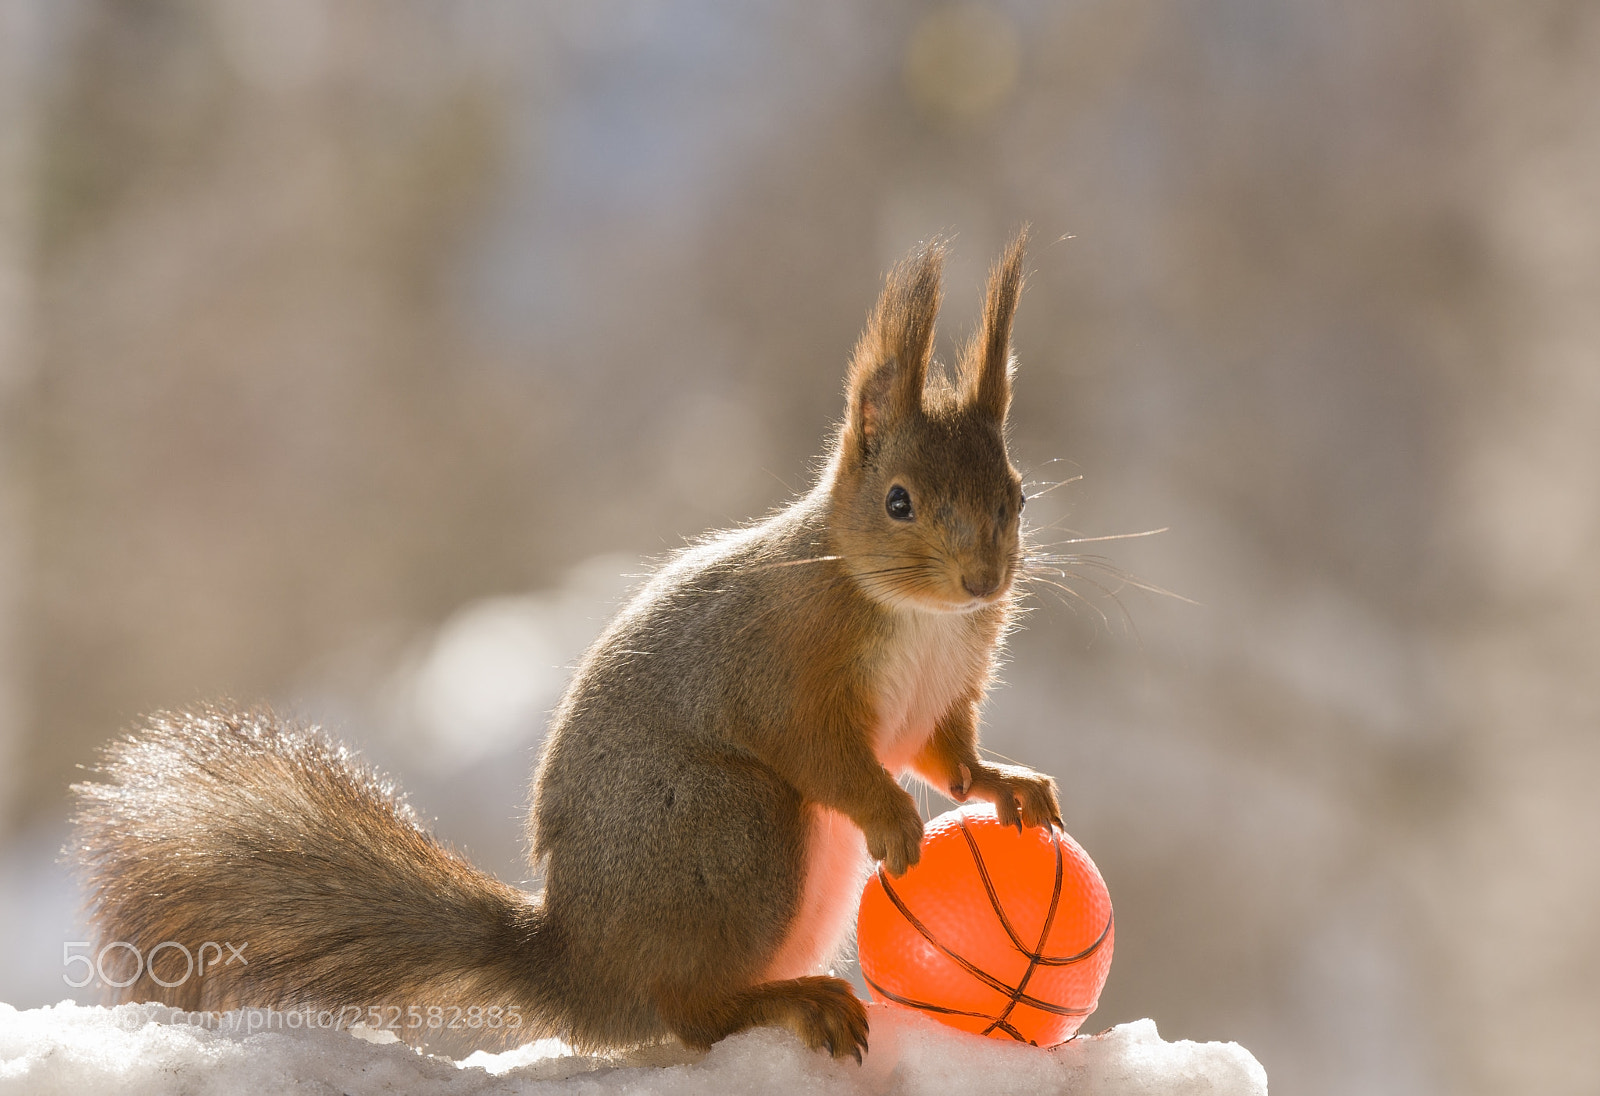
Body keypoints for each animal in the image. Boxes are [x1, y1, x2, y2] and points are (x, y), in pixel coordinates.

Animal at [70, 230, 1062, 1063]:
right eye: (898, 501)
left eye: (1015, 494)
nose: (984, 581)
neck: (917, 615)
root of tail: (578, 968)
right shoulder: (777, 661)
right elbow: (818, 748)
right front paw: (892, 815)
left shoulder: (947, 689)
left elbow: (948, 752)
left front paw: (1006, 784)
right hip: (729, 830)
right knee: (691, 1012)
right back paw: (793, 1003)